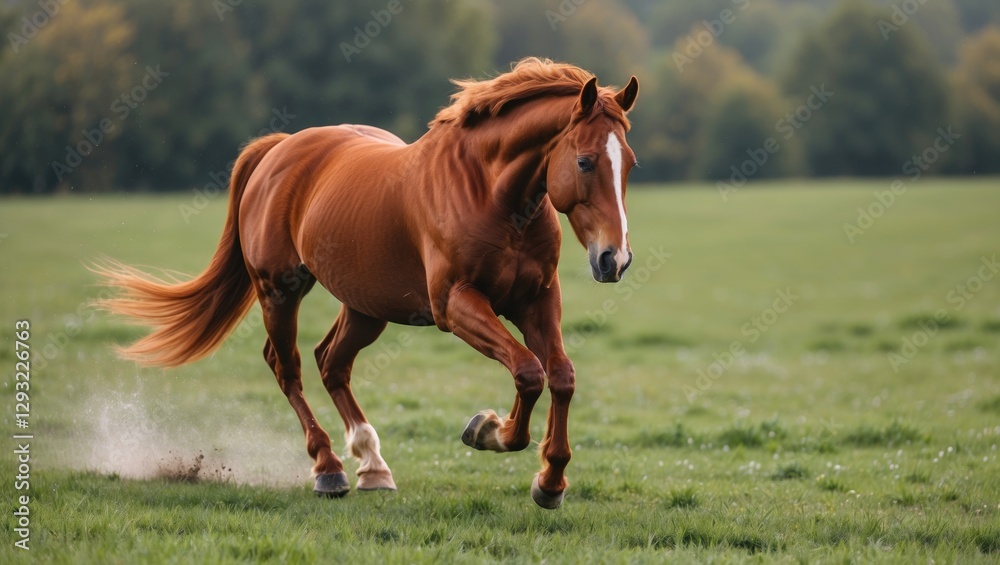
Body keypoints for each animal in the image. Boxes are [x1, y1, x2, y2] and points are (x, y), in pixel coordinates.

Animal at [94, 58, 639, 509]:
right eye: (586, 160)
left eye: (629, 163)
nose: (614, 259)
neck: (491, 194)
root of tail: (279, 148)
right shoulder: (456, 305)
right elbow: (528, 372)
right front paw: (489, 432)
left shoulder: (537, 299)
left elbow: (561, 376)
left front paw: (550, 481)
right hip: (279, 291)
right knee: (288, 368)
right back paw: (329, 469)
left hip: (366, 307)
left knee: (330, 363)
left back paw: (373, 466)